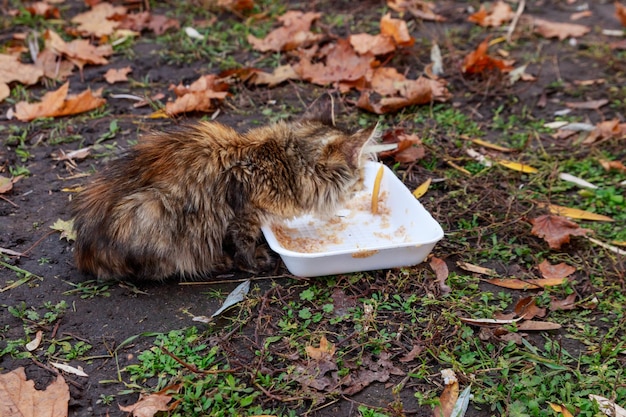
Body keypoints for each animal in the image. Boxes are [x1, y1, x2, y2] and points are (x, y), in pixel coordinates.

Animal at [70, 117, 378, 280]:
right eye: (359, 177)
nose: (365, 186)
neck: (280, 161)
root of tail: (84, 252)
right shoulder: (244, 213)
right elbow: (244, 243)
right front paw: (253, 262)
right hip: (152, 210)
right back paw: (219, 262)